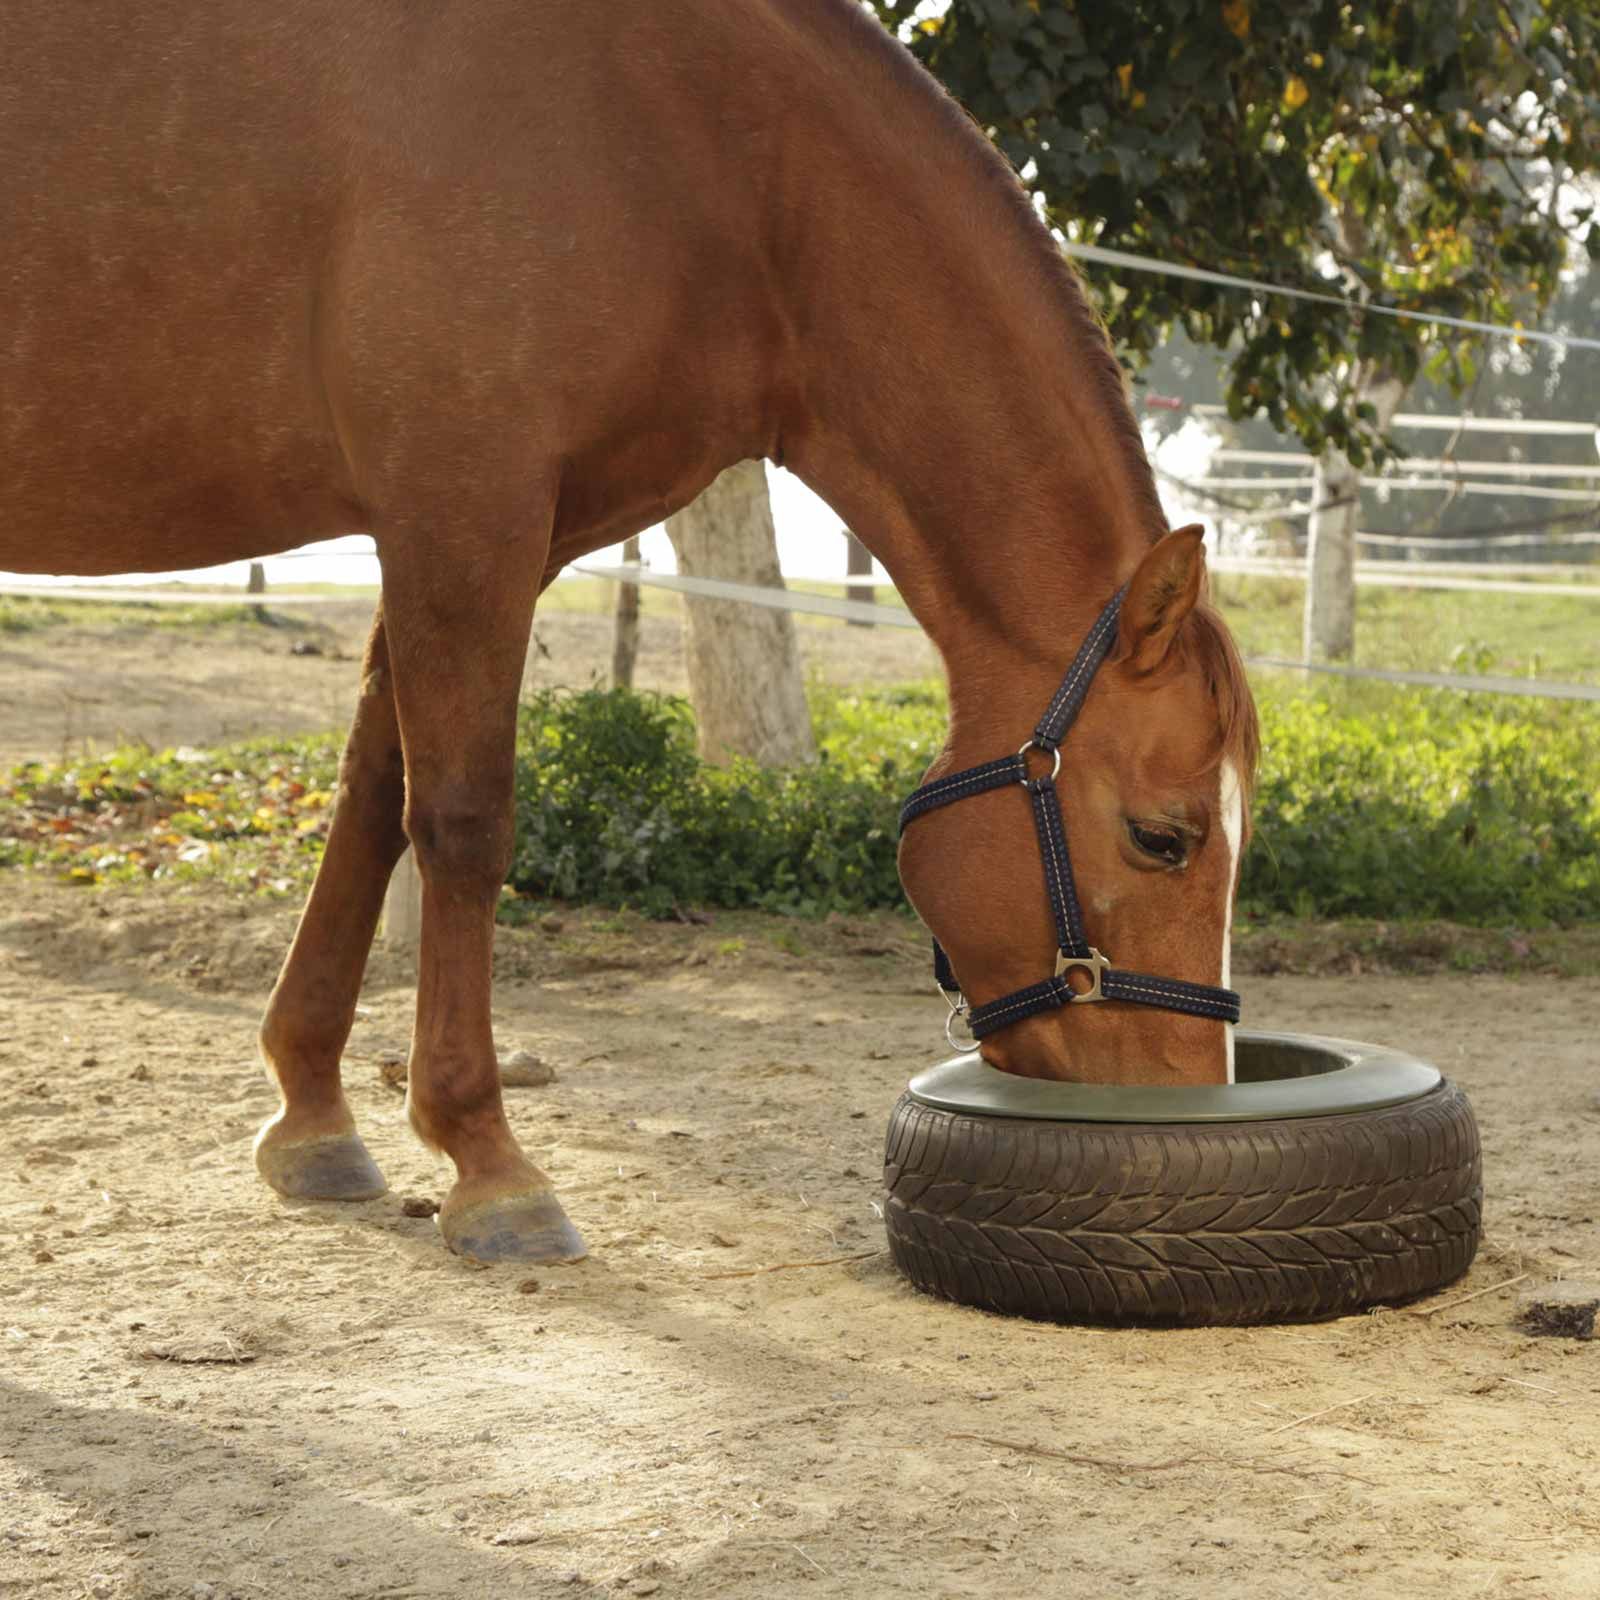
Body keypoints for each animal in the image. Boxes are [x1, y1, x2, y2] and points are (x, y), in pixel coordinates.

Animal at [2, 0, 1258, 1265]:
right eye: (1164, 838)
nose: (1185, 1104)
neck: (699, 151)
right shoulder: (463, 519)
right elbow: (461, 822)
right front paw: (488, 1162)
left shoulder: (465, 537)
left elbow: (369, 802)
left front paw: (312, 1114)